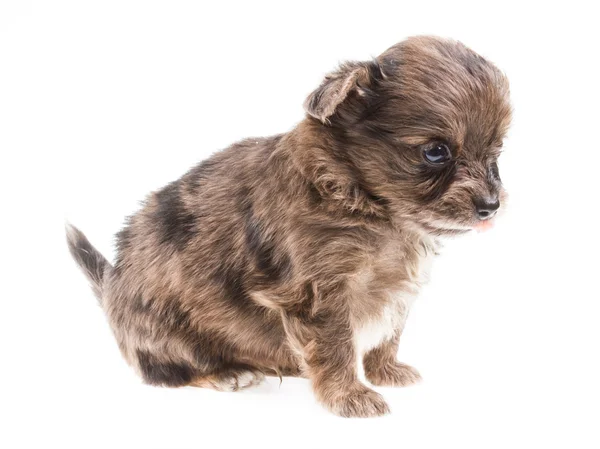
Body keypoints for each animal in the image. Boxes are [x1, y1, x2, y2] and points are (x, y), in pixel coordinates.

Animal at [67, 35, 510, 416]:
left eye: (497, 153)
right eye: (435, 152)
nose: (491, 206)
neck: (366, 201)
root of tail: (110, 285)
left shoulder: (397, 286)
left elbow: (388, 334)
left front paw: (386, 371)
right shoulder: (319, 293)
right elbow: (336, 346)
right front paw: (349, 396)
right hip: (166, 332)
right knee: (167, 370)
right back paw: (228, 373)